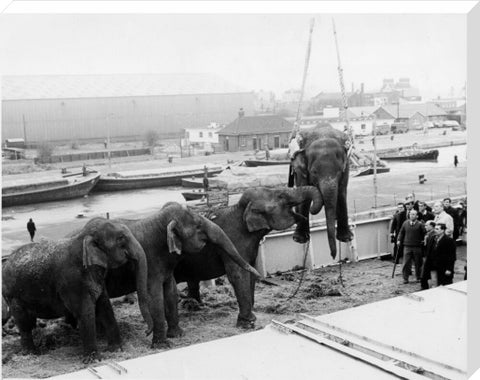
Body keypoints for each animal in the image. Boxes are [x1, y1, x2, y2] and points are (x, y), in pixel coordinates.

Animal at [1, 217, 152, 362]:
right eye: (121, 238)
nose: (147, 332)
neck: (82, 238)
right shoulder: (72, 282)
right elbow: (85, 313)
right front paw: (93, 360)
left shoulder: (97, 279)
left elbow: (105, 307)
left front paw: (116, 350)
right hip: (13, 296)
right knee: (24, 324)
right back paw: (32, 354)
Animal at [101, 203, 258, 348]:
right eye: (198, 226)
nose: (257, 272)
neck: (158, 221)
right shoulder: (149, 263)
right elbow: (154, 296)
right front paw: (162, 346)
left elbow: (170, 290)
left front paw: (177, 335)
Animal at [173, 186, 322, 328]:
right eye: (281, 196)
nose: (310, 212)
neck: (241, 209)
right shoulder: (234, 241)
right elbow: (238, 274)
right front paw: (248, 323)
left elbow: (251, 271)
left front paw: (252, 312)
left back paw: (194, 306)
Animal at [288, 124, 352, 258]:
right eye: (314, 172)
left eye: (339, 171)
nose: (333, 256)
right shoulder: (300, 169)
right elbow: (304, 192)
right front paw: (299, 240)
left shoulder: (347, 165)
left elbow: (341, 192)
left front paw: (346, 239)